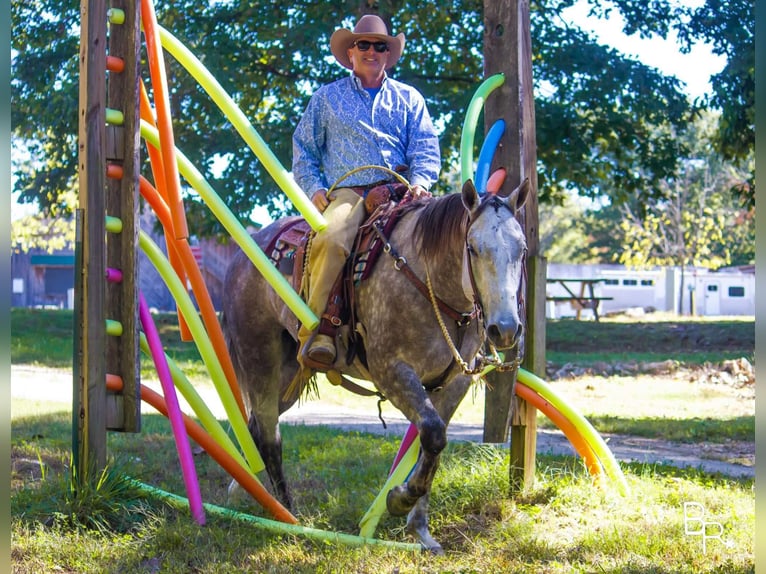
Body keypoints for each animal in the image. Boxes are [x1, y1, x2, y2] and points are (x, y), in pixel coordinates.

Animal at [224, 179, 528, 552]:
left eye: (522, 250)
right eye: (472, 248)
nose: (505, 329)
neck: (427, 279)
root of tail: (242, 256)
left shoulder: (454, 382)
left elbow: (430, 447)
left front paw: (420, 529)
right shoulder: (392, 371)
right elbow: (433, 434)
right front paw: (399, 499)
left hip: (287, 374)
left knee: (256, 425)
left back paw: (247, 493)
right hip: (259, 358)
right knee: (269, 436)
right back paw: (288, 515)